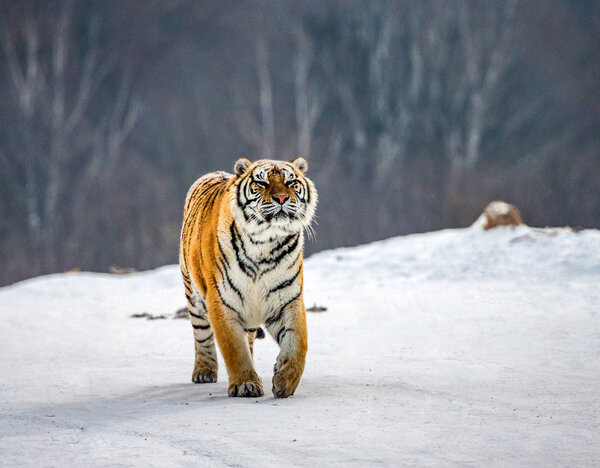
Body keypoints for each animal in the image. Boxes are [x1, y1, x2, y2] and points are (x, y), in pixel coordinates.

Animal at [179, 157, 316, 398]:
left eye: (290, 182)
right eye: (262, 183)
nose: (281, 198)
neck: (266, 243)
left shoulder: (287, 300)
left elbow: (297, 343)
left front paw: (284, 381)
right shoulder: (221, 302)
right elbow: (235, 349)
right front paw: (246, 384)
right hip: (193, 296)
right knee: (202, 336)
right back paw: (204, 372)